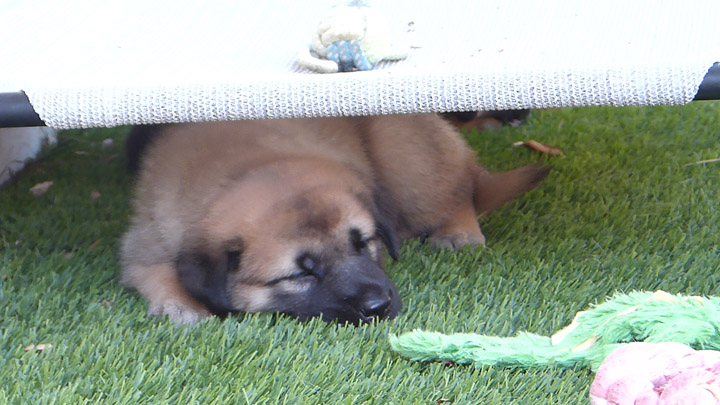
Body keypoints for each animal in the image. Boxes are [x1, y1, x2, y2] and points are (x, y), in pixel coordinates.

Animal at [121, 114, 548, 326]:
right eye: (301, 274)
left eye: (363, 243)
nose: (378, 306)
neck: (245, 169)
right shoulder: (147, 239)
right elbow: (154, 269)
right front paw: (182, 305)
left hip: (404, 153)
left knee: (459, 188)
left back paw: (458, 229)